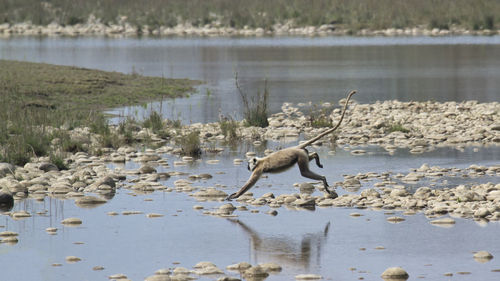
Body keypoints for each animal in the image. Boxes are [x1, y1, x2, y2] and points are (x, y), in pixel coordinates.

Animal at [227, 89, 356, 199]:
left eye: (249, 164)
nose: (247, 167)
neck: (260, 161)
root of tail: (296, 147)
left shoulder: (258, 170)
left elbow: (249, 184)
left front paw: (235, 195)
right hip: (302, 154)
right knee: (309, 158)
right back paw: (316, 157)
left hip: (300, 155)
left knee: (304, 173)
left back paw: (323, 179)